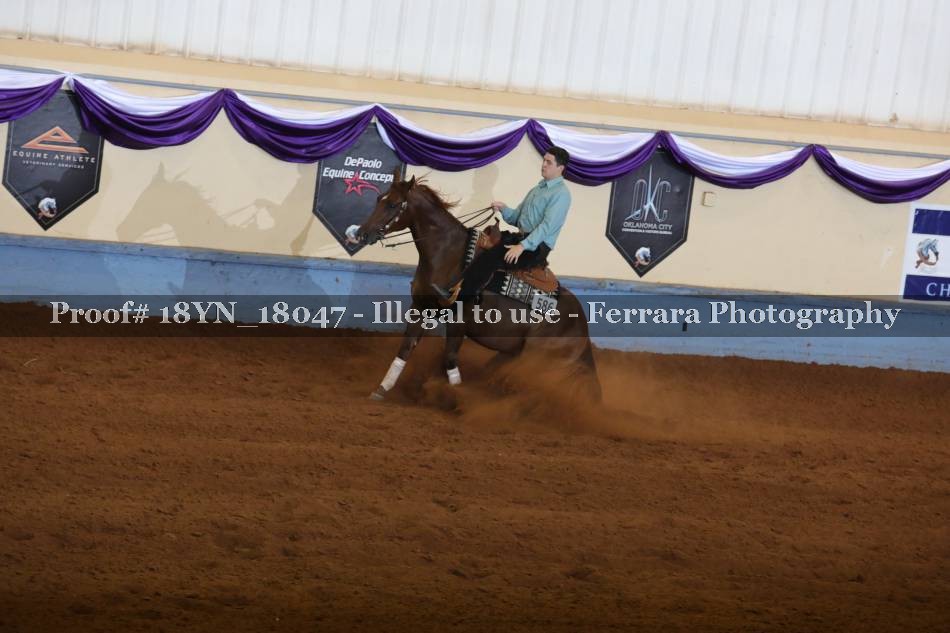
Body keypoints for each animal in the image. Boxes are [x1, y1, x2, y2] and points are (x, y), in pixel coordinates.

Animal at [349, 169, 601, 402]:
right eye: (379, 198)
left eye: (392, 204)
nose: (362, 233)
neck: (447, 254)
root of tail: (583, 328)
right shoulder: (420, 308)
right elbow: (405, 349)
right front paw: (381, 389)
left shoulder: (458, 321)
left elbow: (450, 358)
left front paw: (455, 397)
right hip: (513, 353)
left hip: (536, 360)